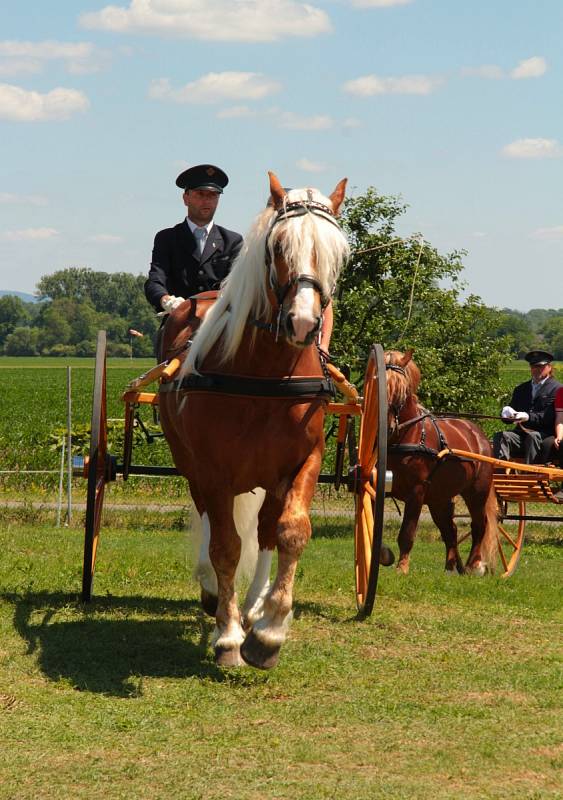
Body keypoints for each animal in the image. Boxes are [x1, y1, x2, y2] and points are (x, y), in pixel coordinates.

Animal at [156, 175, 348, 668]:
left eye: (339, 250)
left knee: (264, 531)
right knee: (209, 522)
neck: (265, 374)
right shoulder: (213, 471)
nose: (303, 322)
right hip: (193, 468)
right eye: (279, 245)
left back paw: (255, 607)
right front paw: (227, 636)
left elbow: (291, 533)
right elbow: (225, 546)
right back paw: (214, 596)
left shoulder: (304, 461)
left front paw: (269, 629)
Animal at [386, 350, 500, 576]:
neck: (407, 435)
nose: (388, 425)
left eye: (402, 392)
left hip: (477, 492)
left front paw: (402, 567)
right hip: (439, 498)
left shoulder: (417, 491)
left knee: (479, 525)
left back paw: (473, 565)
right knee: (450, 530)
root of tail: (479, 435)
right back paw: (451, 566)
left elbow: (407, 532)